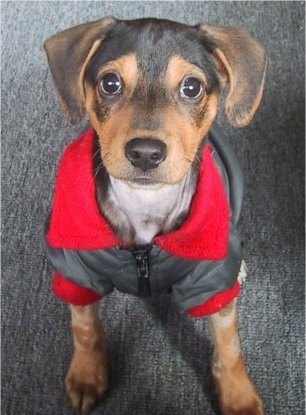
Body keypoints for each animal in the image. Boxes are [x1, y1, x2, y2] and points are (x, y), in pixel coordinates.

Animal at [42, 17, 266, 415]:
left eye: (191, 87)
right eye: (110, 83)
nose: (145, 153)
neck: (145, 205)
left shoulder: (210, 282)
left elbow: (229, 346)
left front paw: (239, 398)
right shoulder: (76, 270)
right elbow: (84, 328)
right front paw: (87, 375)